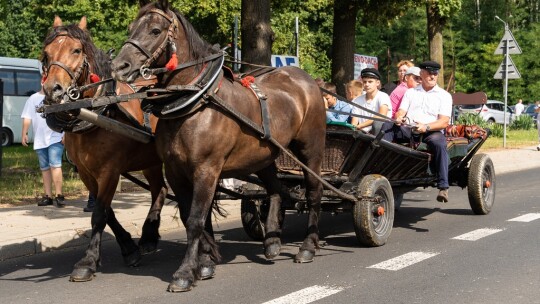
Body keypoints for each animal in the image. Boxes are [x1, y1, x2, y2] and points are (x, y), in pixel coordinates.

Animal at [41, 16, 168, 282]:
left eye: (76, 50)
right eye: (46, 53)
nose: (52, 90)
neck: (97, 109)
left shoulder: (109, 170)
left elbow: (99, 213)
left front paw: (88, 261)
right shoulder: (87, 173)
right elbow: (106, 211)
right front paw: (128, 248)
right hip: (150, 161)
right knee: (159, 190)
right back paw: (149, 236)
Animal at [110, 0, 324, 294]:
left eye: (155, 30)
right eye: (131, 27)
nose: (119, 66)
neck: (195, 102)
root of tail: (306, 78)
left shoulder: (206, 169)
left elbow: (196, 220)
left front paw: (185, 273)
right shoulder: (176, 171)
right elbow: (192, 216)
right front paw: (205, 263)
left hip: (310, 150)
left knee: (314, 194)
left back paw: (308, 247)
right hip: (264, 154)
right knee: (276, 189)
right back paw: (271, 242)